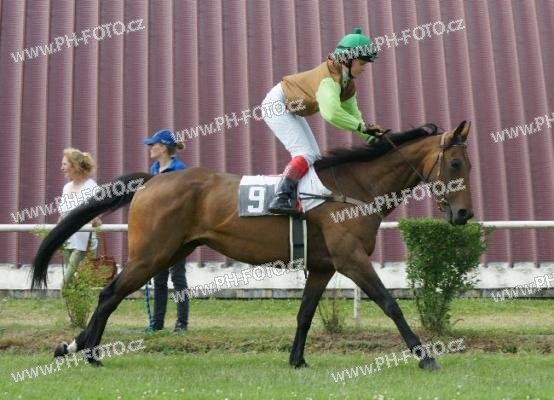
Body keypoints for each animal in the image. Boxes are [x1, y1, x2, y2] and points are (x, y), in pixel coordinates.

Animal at [32, 121, 474, 370]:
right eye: (455, 164)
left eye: (467, 165)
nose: (464, 214)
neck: (354, 188)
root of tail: (154, 178)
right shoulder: (350, 259)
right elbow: (390, 303)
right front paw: (425, 356)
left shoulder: (324, 265)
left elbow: (305, 314)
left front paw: (297, 360)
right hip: (151, 253)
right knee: (108, 294)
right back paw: (89, 353)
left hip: (171, 253)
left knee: (112, 294)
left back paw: (75, 346)